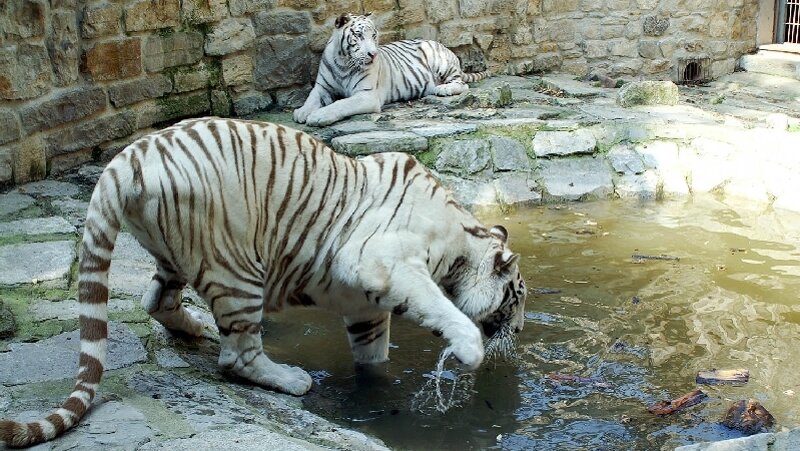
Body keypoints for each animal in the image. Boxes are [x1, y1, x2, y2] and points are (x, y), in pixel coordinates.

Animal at [0, 117, 526, 448]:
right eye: (516, 298)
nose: (520, 330)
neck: (462, 238)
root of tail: (128, 155)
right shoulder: (383, 263)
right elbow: (443, 309)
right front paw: (470, 351)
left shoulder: (367, 307)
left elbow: (373, 354)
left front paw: (376, 389)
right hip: (238, 266)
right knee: (237, 357)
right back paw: (290, 379)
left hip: (172, 252)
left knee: (157, 300)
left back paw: (194, 329)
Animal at [293, 13, 489, 127]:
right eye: (358, 35)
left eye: (374, 35)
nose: (373, 54)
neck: (344, 62)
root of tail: (440, 44)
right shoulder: (322, 87)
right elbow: (312, 98)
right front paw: (302, 112)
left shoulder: (367, 95)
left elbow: (341, 104)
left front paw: (318, 116)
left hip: (441, 63)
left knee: (462, 84)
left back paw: (444, 89)